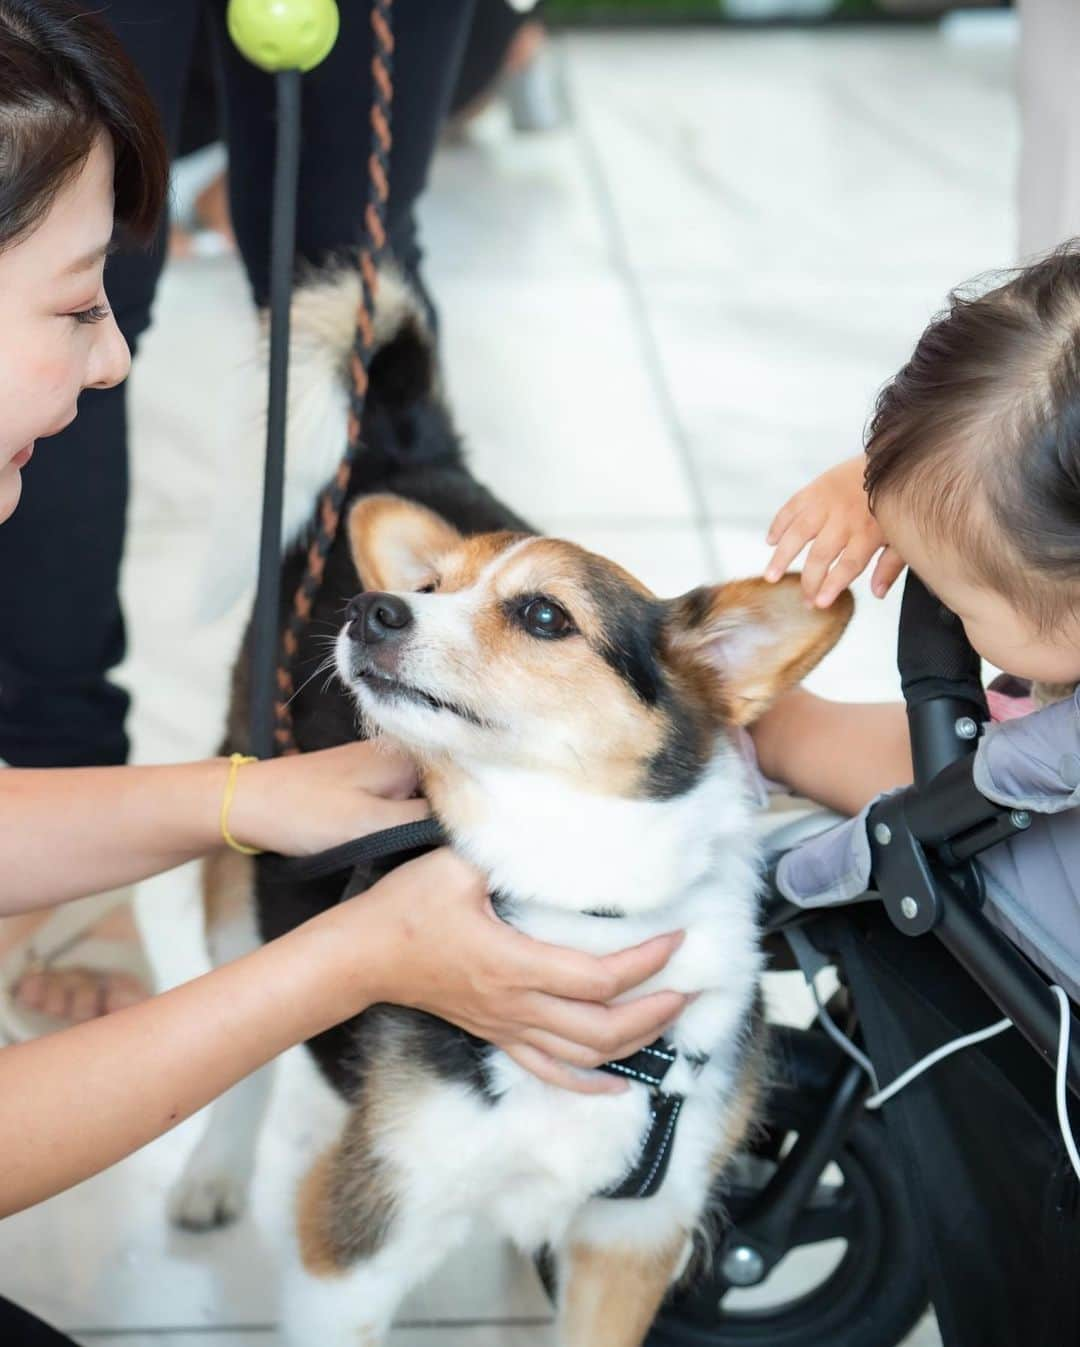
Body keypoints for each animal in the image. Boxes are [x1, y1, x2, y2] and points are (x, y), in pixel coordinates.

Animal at [172, 265, 851, 1347]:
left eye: (542, 615)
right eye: (425, 585)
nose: (372, 609)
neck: (577, 900)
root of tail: (408, 445)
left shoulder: (632, 1241)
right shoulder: (363, 1231)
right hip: (246, 855)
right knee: (243, 1036)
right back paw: (214, 1172)